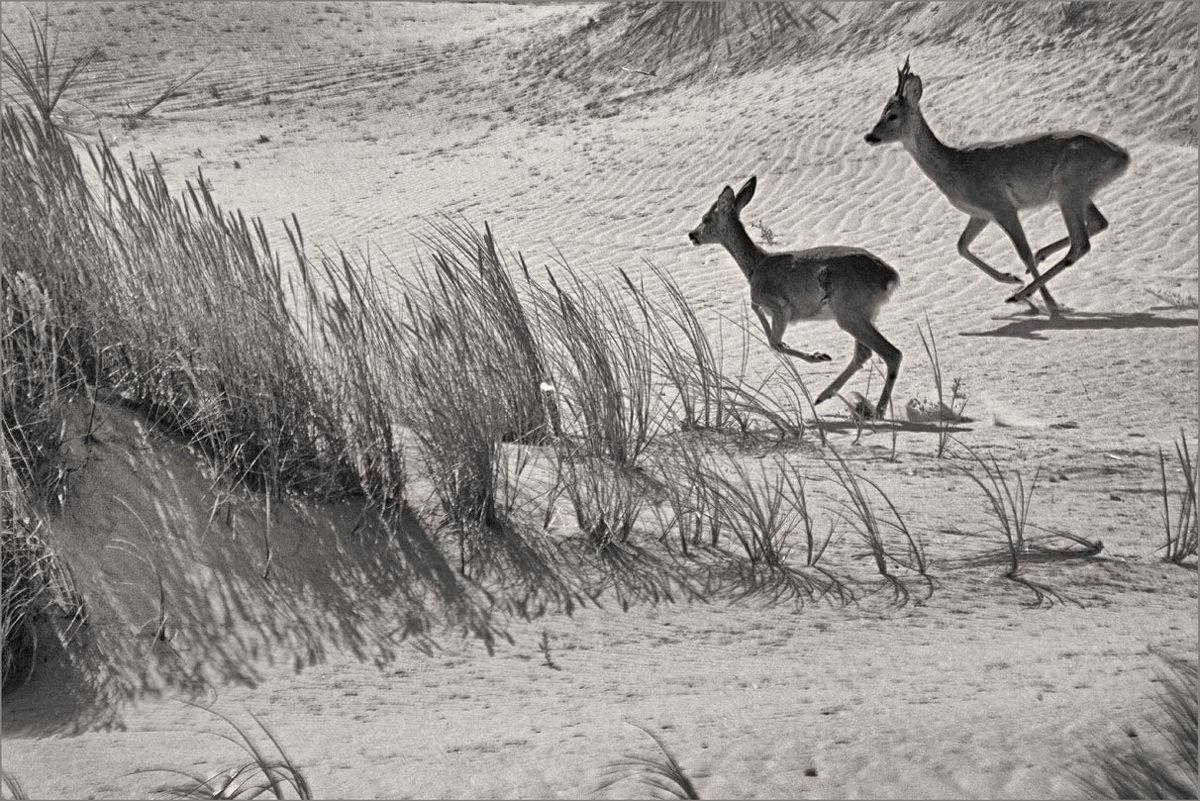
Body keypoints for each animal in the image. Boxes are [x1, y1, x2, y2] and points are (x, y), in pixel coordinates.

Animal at [686, 176, 902, 419]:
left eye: (706, 218)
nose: (692, 235)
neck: (756, 265)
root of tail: (890, 275)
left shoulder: (781, 308)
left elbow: (775, 343)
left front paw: (818, 356)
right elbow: (772, 337)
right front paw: (820, 356)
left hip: (849, 314)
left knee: (891, 353)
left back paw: (877, 411)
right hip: (863, 315)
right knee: (864, 354)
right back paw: (825, 397)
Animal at [868, 57, 1128, 314]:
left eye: (892, 115)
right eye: (881, 112)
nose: (869, 136)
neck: (954, 165)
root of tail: (1122, 156)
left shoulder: (1002, 206)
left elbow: (1023, 254)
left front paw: (1046, 301)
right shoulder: (981, 213)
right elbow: (961, 246)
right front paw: (1011, 278)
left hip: (1069, 188)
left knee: (1080, 243)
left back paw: (1028, 293)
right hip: (1079, 193)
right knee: (1097, 223)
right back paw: (1037, 263)